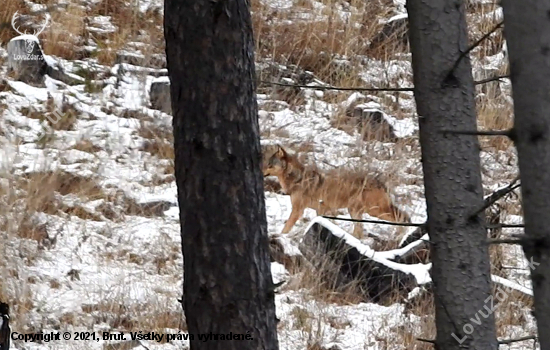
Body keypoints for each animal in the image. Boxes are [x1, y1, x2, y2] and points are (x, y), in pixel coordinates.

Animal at [262, 145, 410, 238]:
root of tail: (382, 183)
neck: (297, 179)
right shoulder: (322, 210)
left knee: (401, 217)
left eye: (269, 165)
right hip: (355, 211)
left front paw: (280, 236)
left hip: (375, 211)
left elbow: (286, 227)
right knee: (360, 231)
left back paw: (400, 234)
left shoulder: (298, 210)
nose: (260, 172)